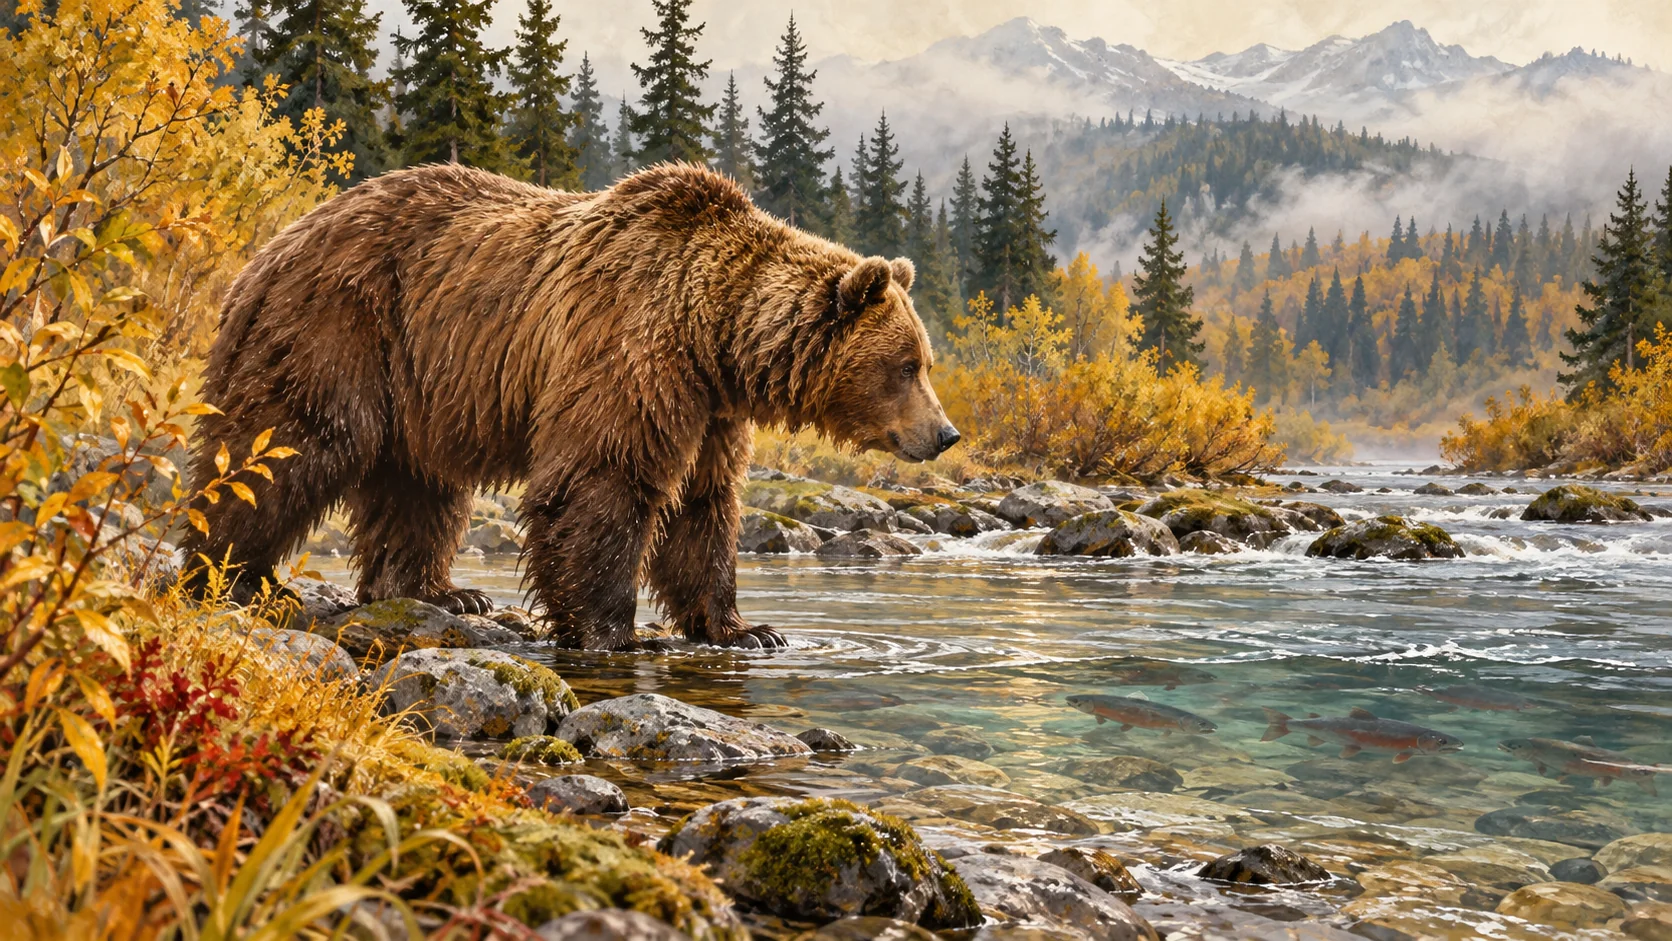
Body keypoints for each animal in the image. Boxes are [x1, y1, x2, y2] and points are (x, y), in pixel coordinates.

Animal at [182, 163, 960, 650]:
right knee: (290, 441)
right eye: (906, 366)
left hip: (417, 379)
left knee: (421, 488)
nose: (946, 433)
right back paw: (233, 574)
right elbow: (601, 478)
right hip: (340, 326)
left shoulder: (709, 408)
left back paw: (443, 593)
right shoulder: (631, 349)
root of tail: (266, 252)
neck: (713, 332)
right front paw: (611, 630)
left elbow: (704, 507)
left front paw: (746, 628)